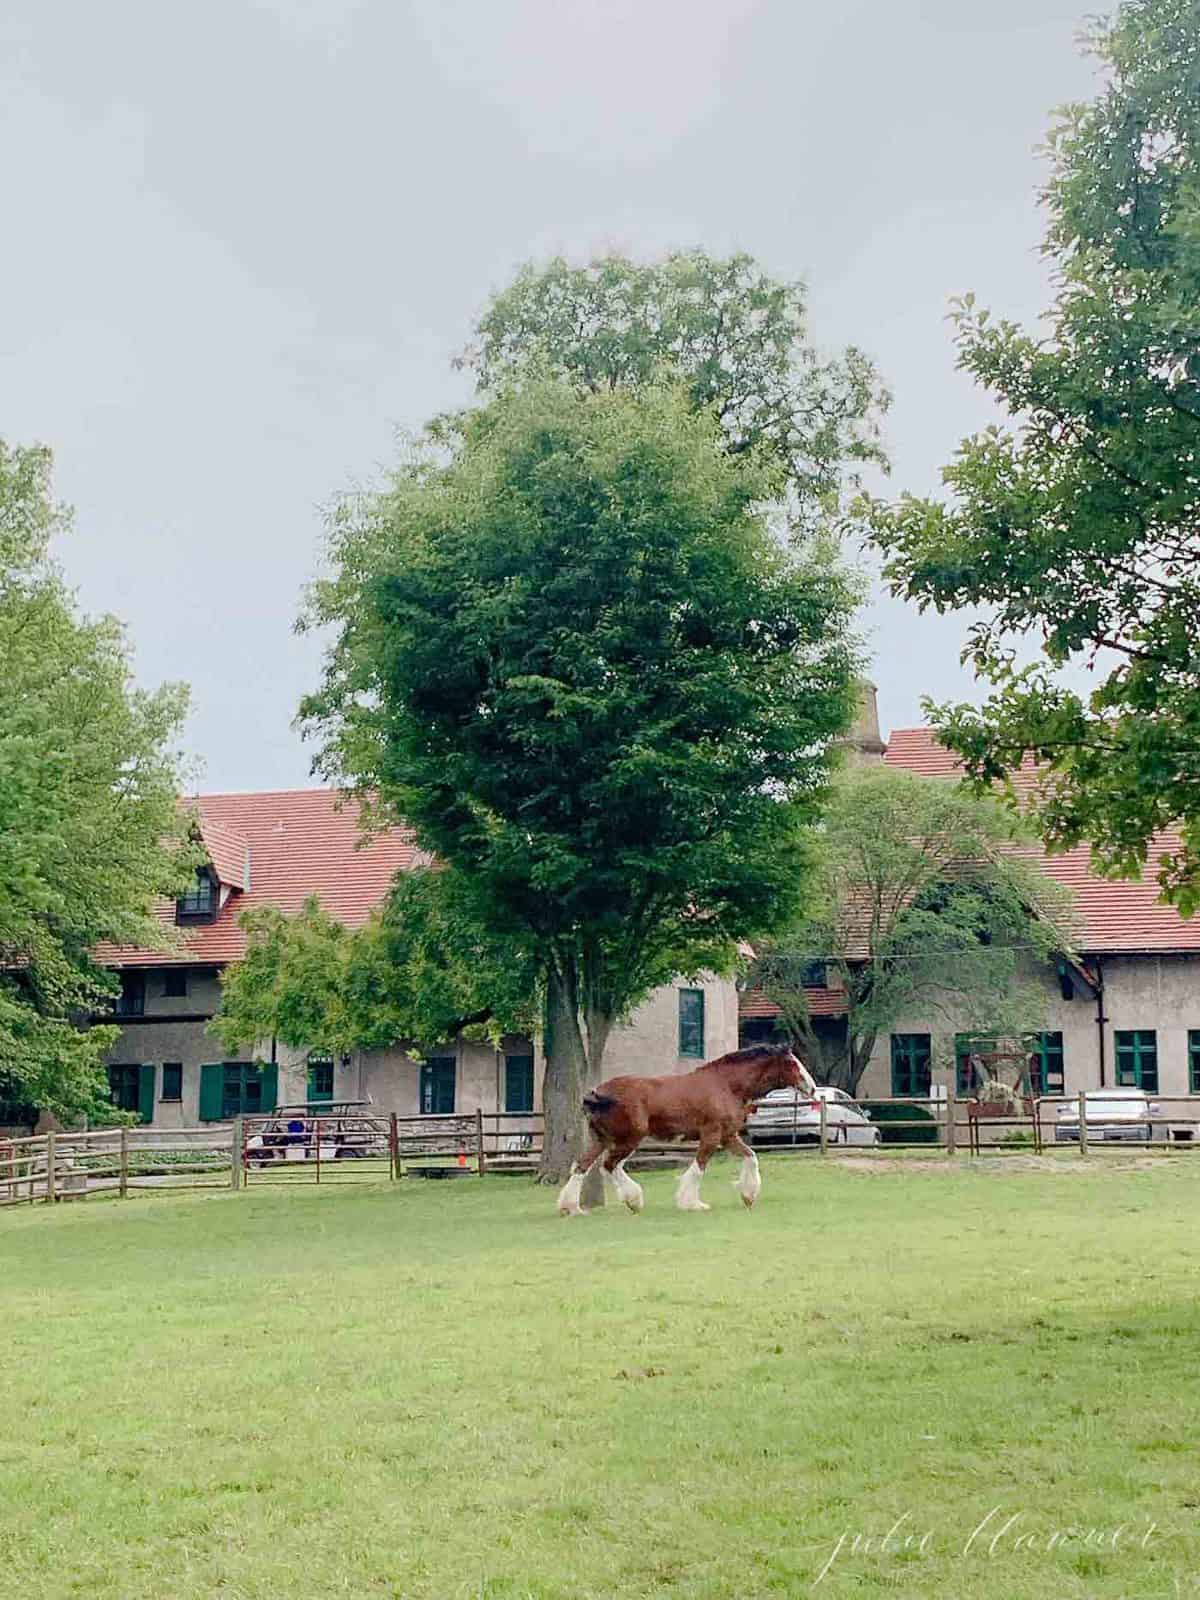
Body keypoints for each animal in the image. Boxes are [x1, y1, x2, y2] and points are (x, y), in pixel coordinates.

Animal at [560, 1043, 812, 1216]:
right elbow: (699, 1167)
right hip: (629, 1139)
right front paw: (692, 1203)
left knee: (582, 1166)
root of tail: (597, 1093)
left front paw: (748, 1196)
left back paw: (572, 1208)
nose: (811, 1087)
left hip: (602, 1139)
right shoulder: (711, 1135)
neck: (726, 1085)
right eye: (792, 1063)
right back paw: (633, 1201)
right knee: (609, 1165)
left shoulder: (728, 1136)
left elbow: (751, 1157)